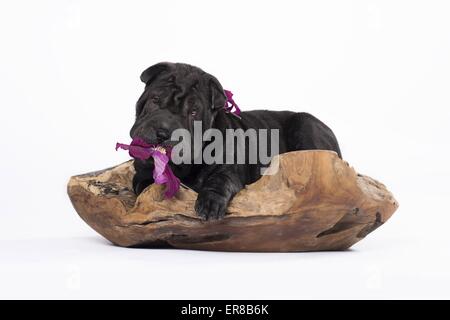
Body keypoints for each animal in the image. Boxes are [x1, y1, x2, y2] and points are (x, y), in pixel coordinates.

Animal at [128, 63, 340, 221]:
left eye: (194, 112)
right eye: (155, 99)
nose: (163, 132)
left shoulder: (229, 171)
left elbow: (219, 181)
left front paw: (210, 204)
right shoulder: (141, 171)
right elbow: (145, 181)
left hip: (305, 124)